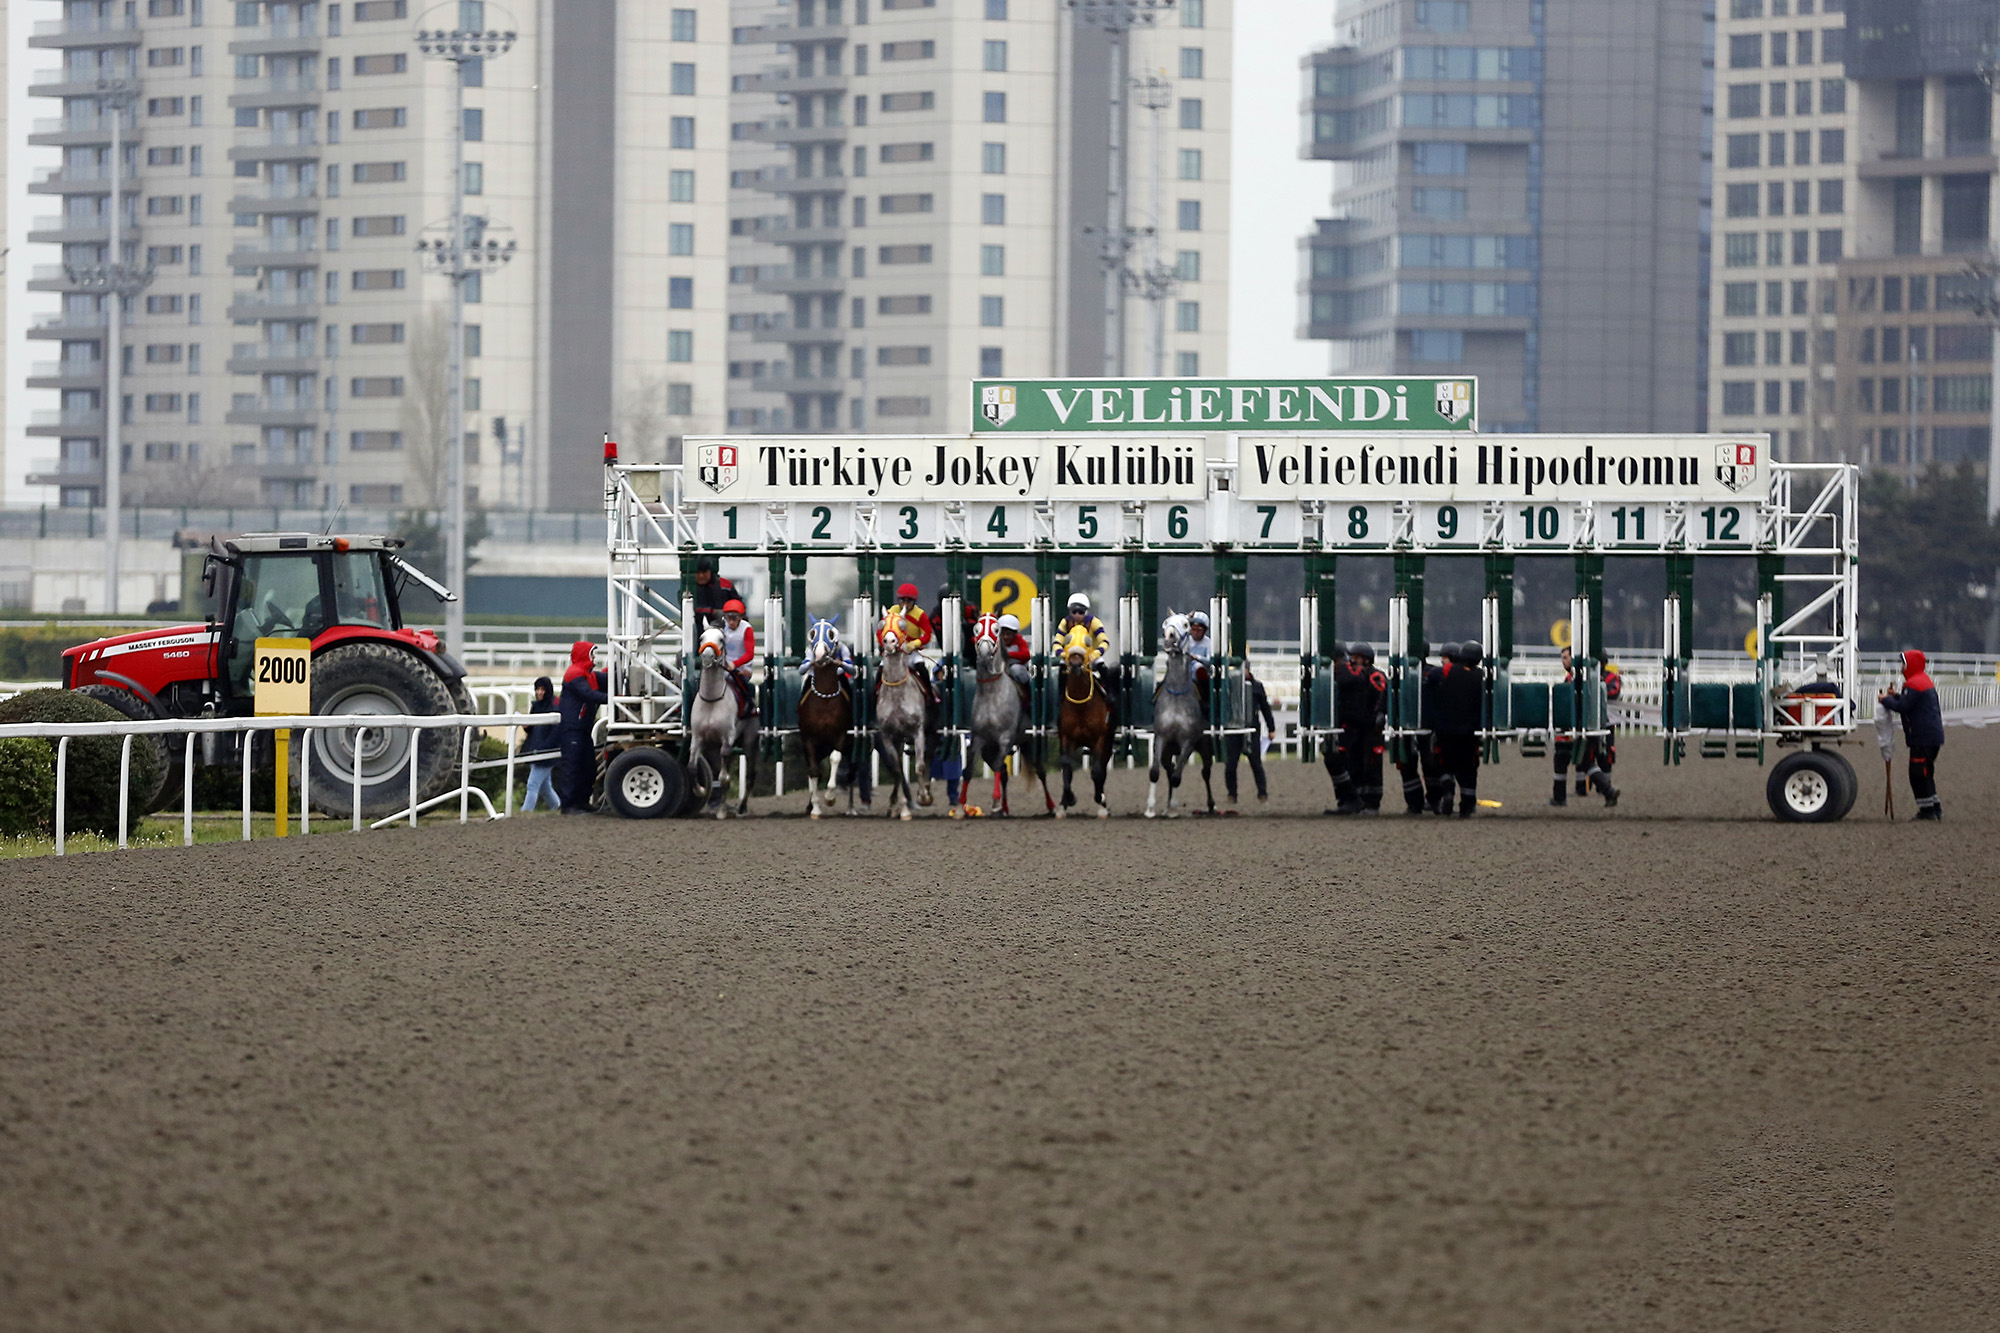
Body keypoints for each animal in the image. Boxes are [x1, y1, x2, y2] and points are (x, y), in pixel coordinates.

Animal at [684, 628, 752, 816]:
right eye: (701, 638)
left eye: (721, 639)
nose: (707, 656)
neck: (711, 699)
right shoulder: (698, 738)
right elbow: (692, 767)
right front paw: (701, 790)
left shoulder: (727, 739)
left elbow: (724, 778)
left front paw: (722, 810)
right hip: (713, 747)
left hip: (750, 742)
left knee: (750, 775)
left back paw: (740, 807)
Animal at [1056, 624, 1120, 820]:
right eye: (1068, 639)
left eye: (1088, 642)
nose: (1076, 665)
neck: (1081, 704)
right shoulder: (1066, 737)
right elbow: (1066, 768)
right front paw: (1066, 801)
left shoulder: (1100, 738)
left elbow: (1097, 771)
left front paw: (1101, 800)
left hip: (1108, 741)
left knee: (1102, 770)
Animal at [1152, 608, 1208, 816]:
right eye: (1165, 623)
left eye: (1185, 624)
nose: (1169, 637)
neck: (1177, 696)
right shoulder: (1161, 737)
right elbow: (1156, 773)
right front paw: (1152, 809)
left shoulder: (1188, 741)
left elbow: (1177, 776)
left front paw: (1174, 806)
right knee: (1169, 770)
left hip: (1205, 746)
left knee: (1205, 772)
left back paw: (1211, 806)